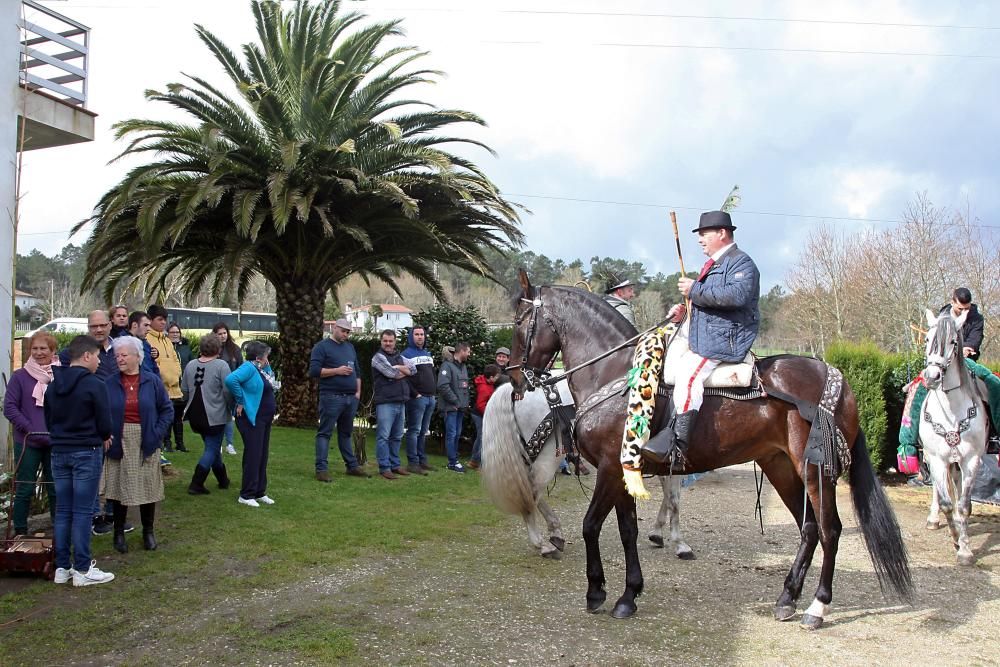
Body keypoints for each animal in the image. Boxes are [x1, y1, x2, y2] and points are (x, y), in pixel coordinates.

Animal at [484, 378, 696, 560]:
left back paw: (555, 534)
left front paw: (657, 533)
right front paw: (679, 543)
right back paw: (542, 544)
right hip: (548, 457)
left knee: (529, 491)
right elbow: (673, 498)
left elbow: (670, 496)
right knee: (532, 493)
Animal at [508, 270, 916, 628]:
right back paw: (787, 598)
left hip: (815, 471)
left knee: (830, 529)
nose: (513, 378)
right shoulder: (623, 472)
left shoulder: (610, 468)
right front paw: (628, 595)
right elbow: (627, 531)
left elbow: (591, 525)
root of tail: (836, 378)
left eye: (519, 321)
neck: (614, 374)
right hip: (780, 467)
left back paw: (817, 607)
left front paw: (597, 592)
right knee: (809, 529)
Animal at [916, 308, 988, 564]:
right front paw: (956, 539)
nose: (932, 377)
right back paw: (933, 519)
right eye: (927, 339)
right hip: (932, 458)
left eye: (954, 342)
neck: (951, 411)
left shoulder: (971, 460)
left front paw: (965, 550)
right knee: (939, 490)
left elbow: (964, 505)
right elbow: (947, 503)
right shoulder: (937, 459)